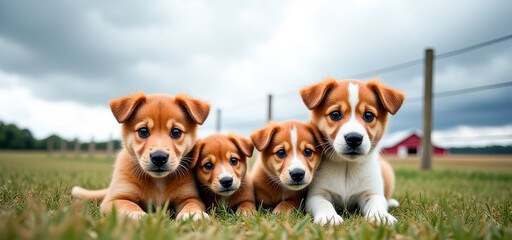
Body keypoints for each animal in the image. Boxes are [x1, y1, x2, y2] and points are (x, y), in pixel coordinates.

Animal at [70, 92, 210, 221]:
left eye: (176, 132)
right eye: (143, 131)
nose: (159, 158)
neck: (158, 181)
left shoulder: (189, 197)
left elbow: (192, 204)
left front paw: (194, 214)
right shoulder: (115, 198)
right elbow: (128, 205)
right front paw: (137, 215)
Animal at [300, 78, 404, 226]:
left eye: (368, 115)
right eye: (335, 114)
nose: (354, 139)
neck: (347, 167)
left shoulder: (372, 193)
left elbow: (377, 203)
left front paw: (381, 217)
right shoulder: (317, 194)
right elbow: (323, 203)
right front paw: (329, 217)